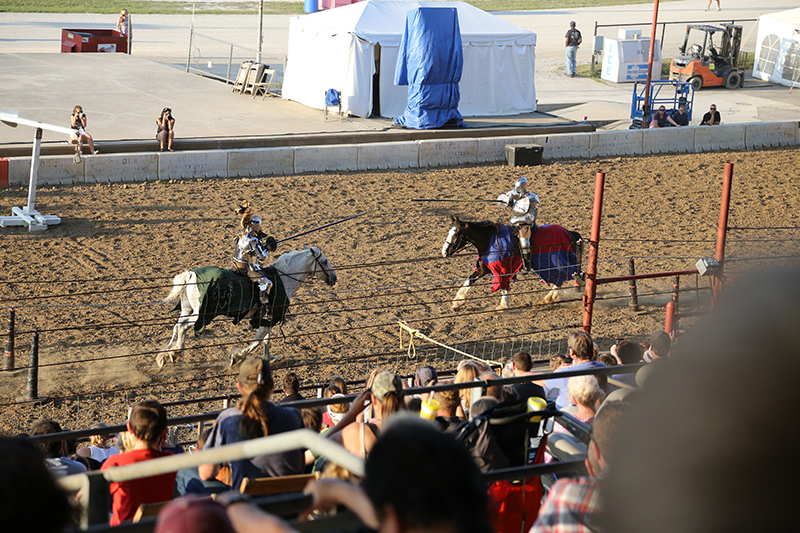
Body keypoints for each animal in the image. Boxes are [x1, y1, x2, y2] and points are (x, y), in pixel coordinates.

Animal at [158, 246, 336, 368]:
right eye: (324, 261)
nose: (334, 277)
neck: (283, 278)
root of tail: (190, 275)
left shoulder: (267, 318)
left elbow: (265, 340)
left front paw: (269, 358)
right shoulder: (270, 317)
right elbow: (257, 341)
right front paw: (237, 356)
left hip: (187, 310)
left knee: (176, 326)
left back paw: (165, 354)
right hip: (200, 315)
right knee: (182, 328)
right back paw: (175, 352)